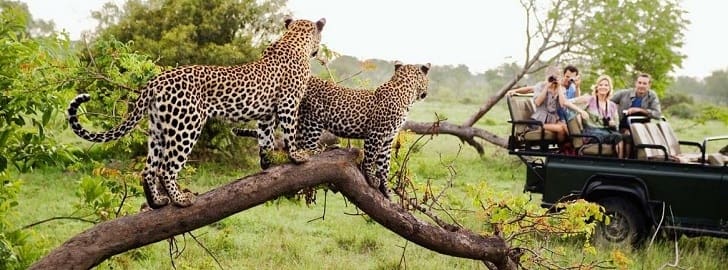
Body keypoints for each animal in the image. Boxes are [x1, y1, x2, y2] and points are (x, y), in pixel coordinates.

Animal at [233, 60, 430, 196]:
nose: (426, 93)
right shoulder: (376, 134)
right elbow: (370, 158)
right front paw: (371, 177)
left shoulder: (388, 138)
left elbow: (384, 164)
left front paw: (387, 190)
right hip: (313, 119)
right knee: (308, 147)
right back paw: (324, 149)